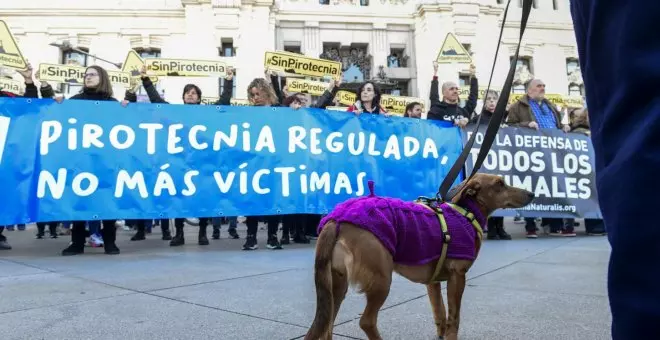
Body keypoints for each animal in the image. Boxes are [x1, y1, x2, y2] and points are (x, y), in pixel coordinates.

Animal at [304, 174, 536, 340]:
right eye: (500, 184)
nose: (532, 193)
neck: (465, 213)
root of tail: (336, 218)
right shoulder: (457, 276)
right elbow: (454, 317)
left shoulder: (433, 283)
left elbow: (440, 313)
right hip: (381, 281)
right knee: (366, 322)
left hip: (335, 287)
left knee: (326, 327)